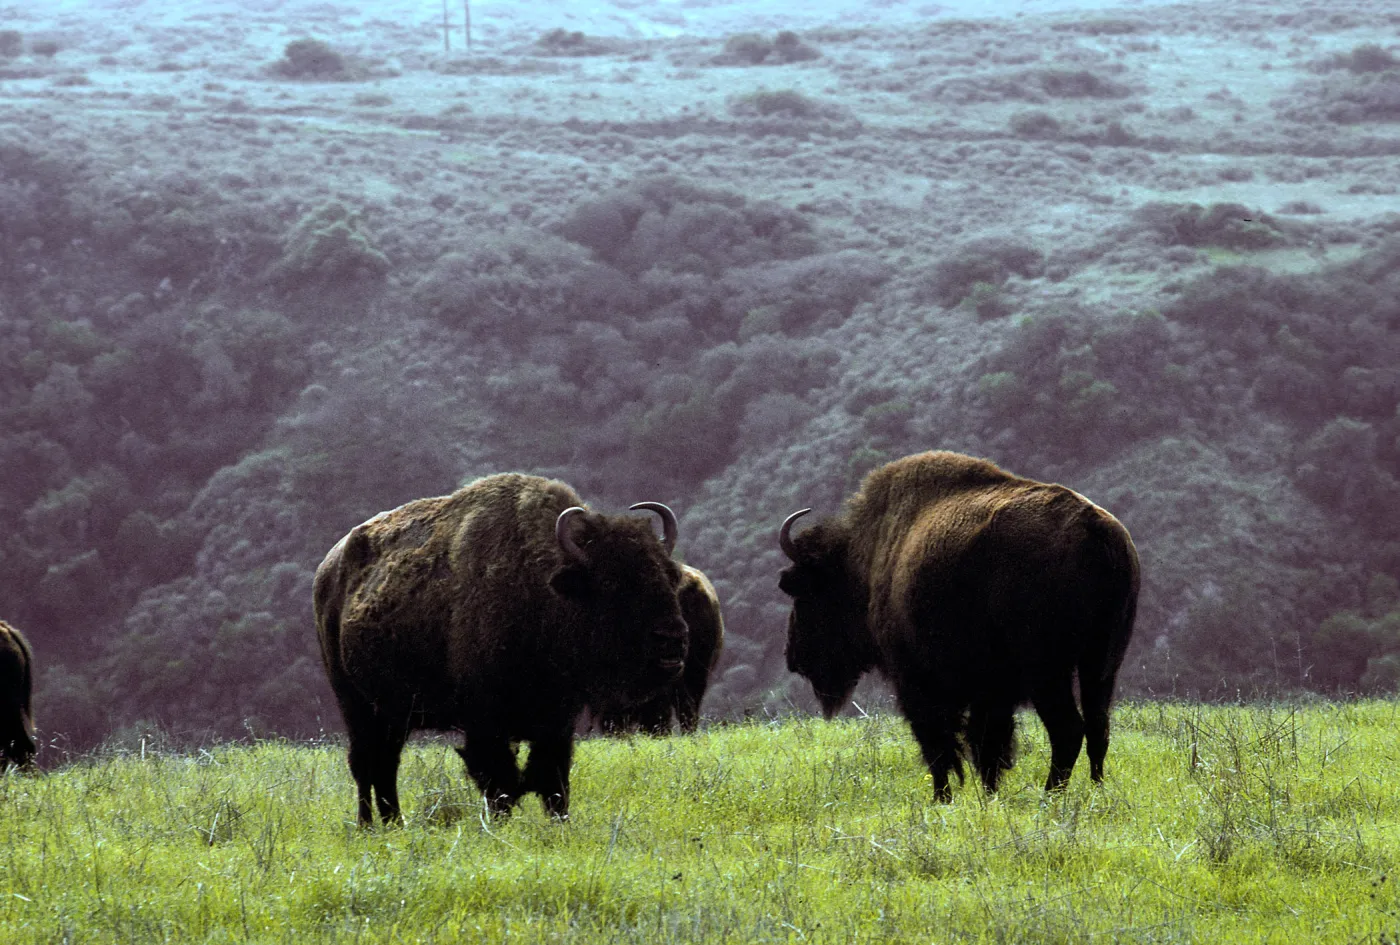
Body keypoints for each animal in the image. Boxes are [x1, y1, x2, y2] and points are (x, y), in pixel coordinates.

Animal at [314, 473, 689, 824]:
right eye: (612, 582)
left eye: (669, 574)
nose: (673, 637)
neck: (541, 587)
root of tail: (328, 569)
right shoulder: (485, 722)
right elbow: (501, 782)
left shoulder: (557, 721)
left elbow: (552, 779)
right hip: (354, 702)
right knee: (365, 764)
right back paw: (368, 826)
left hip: (392, 713)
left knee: (385, 764)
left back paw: (395, 823)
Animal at [778, 451, 1139, 801]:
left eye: (803, 593)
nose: (793, 658)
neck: (867, 559)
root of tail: (1096, 528)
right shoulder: (991, 690)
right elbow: (987, 743)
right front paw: (989, 794)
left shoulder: (917, 681)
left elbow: (938, 743)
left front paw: (943, 797)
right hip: (1102, 664)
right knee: (1098, 726)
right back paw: (1096, 790)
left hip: (1048, 671)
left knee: (1068, 729)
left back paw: (1050, 797)